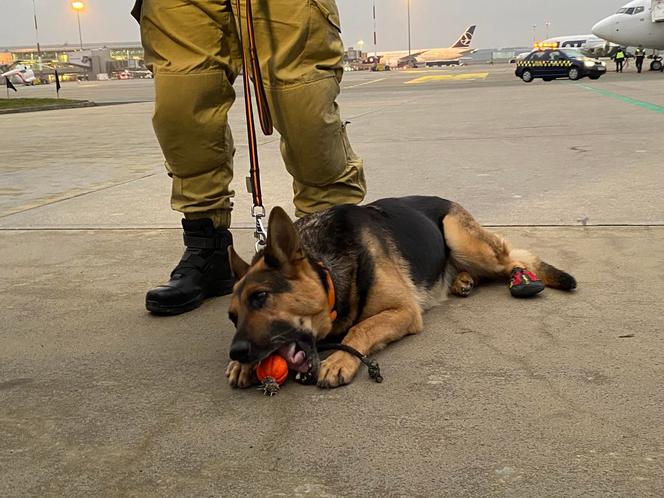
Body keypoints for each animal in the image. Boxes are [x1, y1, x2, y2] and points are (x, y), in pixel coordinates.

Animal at [224, 196, 576, 390]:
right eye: (232, 317)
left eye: (260, 297)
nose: (236, 352)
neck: (327, 266)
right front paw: (244, 367)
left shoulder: (404, 311)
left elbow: (359, 329)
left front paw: (339, 360)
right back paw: (462, 281)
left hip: (463, 239)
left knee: (513, 260)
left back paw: (523, 279)